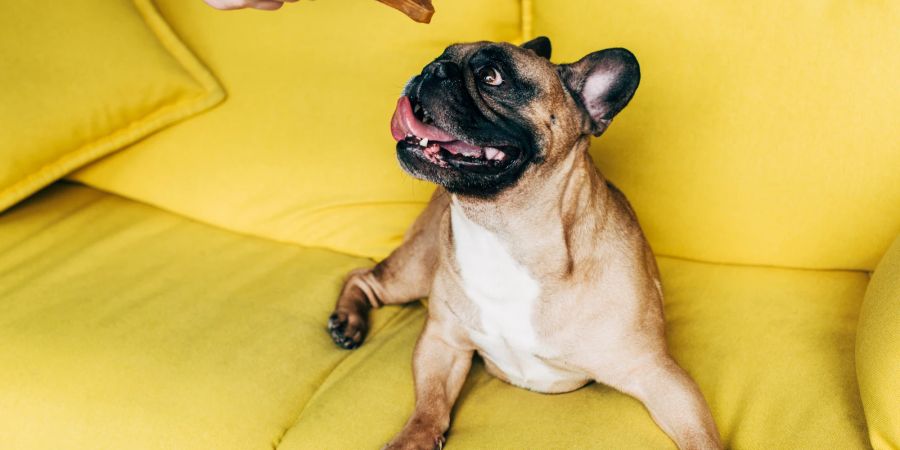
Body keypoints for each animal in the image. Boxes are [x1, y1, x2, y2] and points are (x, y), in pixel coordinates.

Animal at [326, 37, 720, 448]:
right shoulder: (443, 340)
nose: (432, 69)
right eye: (440, 55)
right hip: (416, 270)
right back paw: (348, 321)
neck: (506, 232)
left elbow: (703, 440)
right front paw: (412, 438)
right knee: (363, 277)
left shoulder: (657, 373)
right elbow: (429, 405)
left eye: (492, 76)